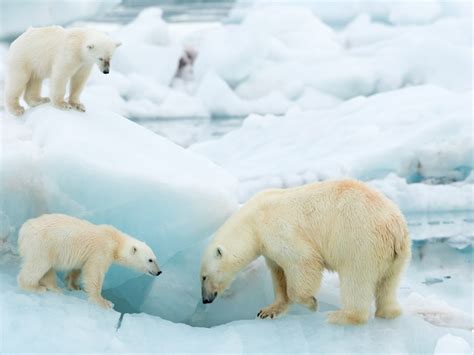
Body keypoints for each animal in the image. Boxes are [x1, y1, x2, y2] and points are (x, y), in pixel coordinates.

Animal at [18, 214, 161, 308]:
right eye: (150, 260)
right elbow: (94, 272)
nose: (159, 272)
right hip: (43, 245)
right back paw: (35, 287)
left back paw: (54, 287)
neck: (116, 241)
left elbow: (78, 268)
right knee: (38, 265)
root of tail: (23, 230)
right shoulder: (101, 250)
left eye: (156, 258)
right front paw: (104, 302)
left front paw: (74, 286)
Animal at [200, 181, 412, 326]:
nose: (205, 299)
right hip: (397, 254)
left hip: (361, 242)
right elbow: (278, 274)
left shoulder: (277, 229)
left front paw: (311, 303)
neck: (252, 221)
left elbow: (303, 261)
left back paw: (341, 316)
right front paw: (268, 311)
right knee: (389, 283)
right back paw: (387, 312)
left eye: (203, 276)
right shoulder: (269, 249)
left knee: (356, 279)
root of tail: (395, 228)